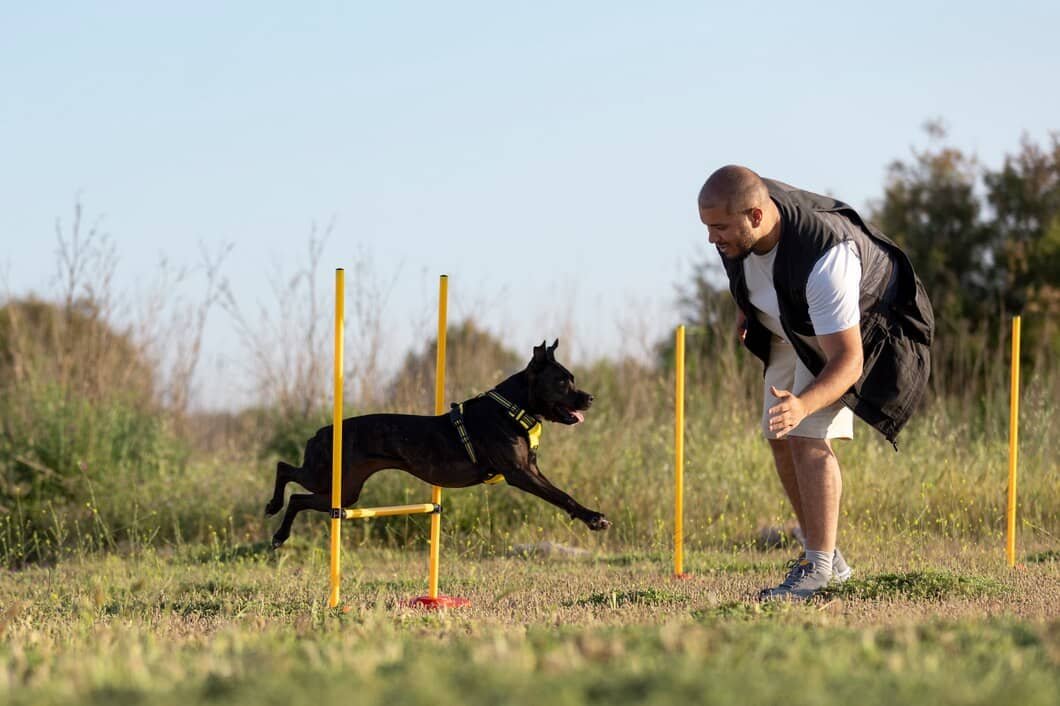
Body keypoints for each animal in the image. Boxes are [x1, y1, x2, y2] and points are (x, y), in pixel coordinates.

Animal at [267, 339, 614, 546]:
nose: (591, 398)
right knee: (285, 470)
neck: (512, 407)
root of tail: (321, 432)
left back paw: (279, 530)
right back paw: (274, 514)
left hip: (345, 491)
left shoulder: (531, 469)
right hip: (327, 476)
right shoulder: (520, 474)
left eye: (572, 378)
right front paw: (594, 519)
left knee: (298, 497)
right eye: (561, 381)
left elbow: (561, 493)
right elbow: (562, 495)